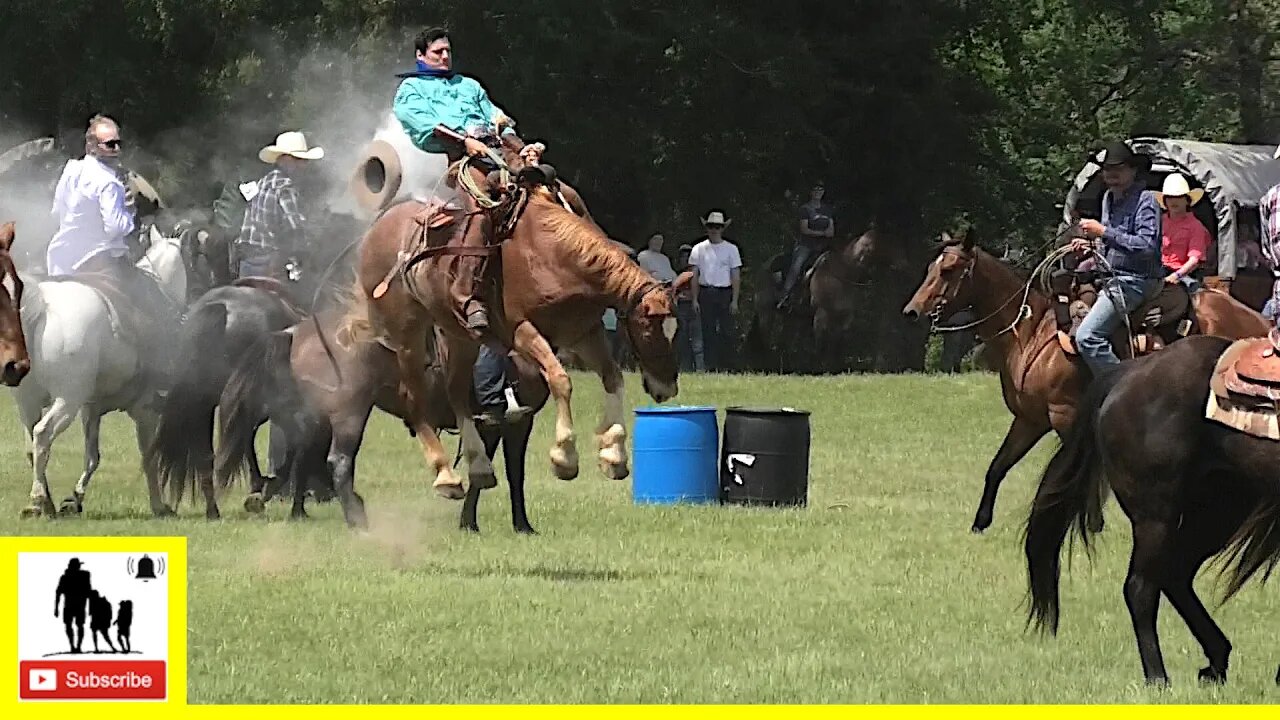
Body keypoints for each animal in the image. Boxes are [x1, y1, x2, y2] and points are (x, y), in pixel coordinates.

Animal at [211, 304, 550, 530]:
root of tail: (296, 332)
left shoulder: (493, 426)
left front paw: (470, 522)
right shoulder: (516, 422)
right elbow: (511, 473)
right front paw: (521, 526)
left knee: (299, 457)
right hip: (350, 413)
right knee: (336, 461)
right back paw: (355, 518)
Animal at [340, 146, 680, 499]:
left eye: (675, 331)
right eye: (649, 331)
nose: (666, 388)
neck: (552, 255)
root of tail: (376, 231)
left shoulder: (584, 332)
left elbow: (613, 378)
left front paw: (613, 454)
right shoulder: (521, 331)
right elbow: (560, 379)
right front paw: (564, 456)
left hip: (460, 336)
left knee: (456, 392)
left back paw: (478, 465)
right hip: (407, 334)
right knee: (414, 397)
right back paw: (446, 475)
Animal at [901, 229, 1269, 532]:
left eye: (948, 270)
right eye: (931, 267)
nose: (912, 312)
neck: (1033, 334)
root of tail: (1258, 323)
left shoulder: (1065, 416)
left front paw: (1093, 522)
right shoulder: (1030, 419)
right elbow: (998, 466)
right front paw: (980, 522)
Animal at [1024, 333, 1280, 686]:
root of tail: (1128, 374)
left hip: (1220, 509)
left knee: (1174, 574)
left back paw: (1215, 660)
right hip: (1157, 516)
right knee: (1141, 588)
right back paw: (1158, 677)